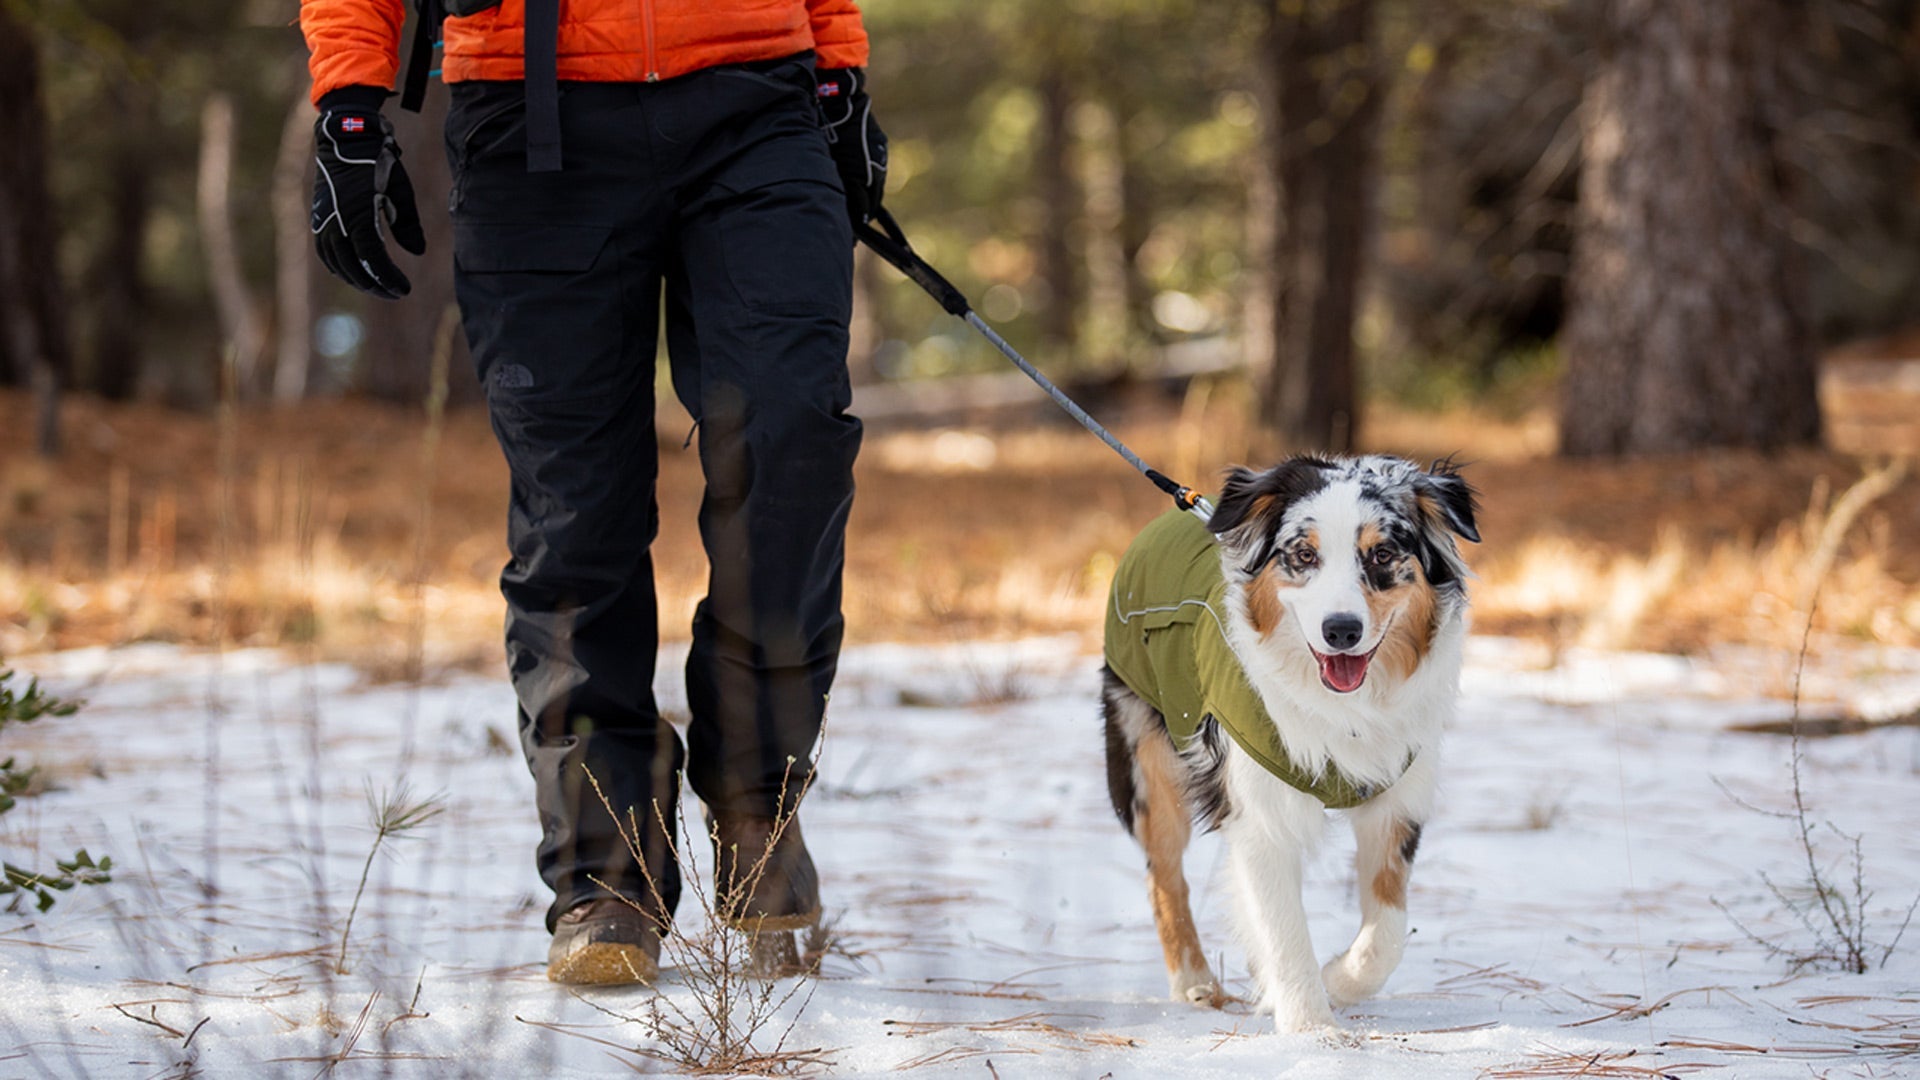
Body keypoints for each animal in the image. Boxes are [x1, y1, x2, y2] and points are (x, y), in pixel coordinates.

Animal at [1105, 451, 1474, 1022]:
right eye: (1303, 554)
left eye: (1383, 553)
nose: (1340, 630)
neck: (1345, 707)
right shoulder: (1261, 810)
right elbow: (1284, 933)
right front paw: (1312, 1028)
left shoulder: (1397, 799)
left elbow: (1387, 934)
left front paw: (1338, 981)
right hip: (1148, 758)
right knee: (1163, 873)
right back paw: (1193, 981)